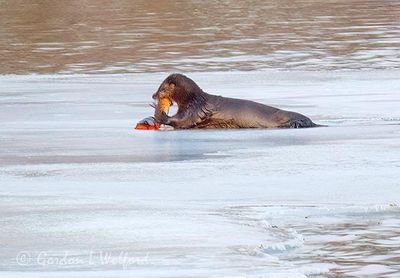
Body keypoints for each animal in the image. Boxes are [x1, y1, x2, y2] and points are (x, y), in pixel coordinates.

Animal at [152, 74, 318, 130]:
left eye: (161, 89)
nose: (153, 95)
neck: (194, 100)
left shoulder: (195, 110)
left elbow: (184, 121)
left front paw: (161, 115)